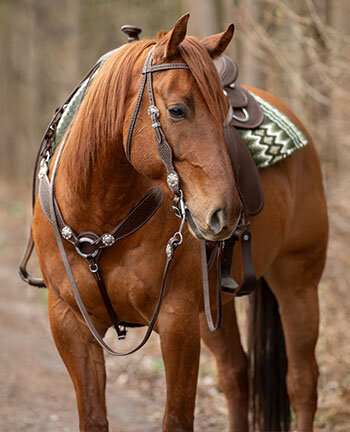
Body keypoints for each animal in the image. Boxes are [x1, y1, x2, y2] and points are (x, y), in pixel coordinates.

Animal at [30, 13, 328, 432]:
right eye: (177, 111)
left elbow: (176, 417)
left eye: (224, 113)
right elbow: (93, 417)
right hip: (215, 302)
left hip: (298, 281)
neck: (100, 220)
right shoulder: (71, 325)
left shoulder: (177, 322)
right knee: (236, 374)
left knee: (302, 382)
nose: (226, 213)